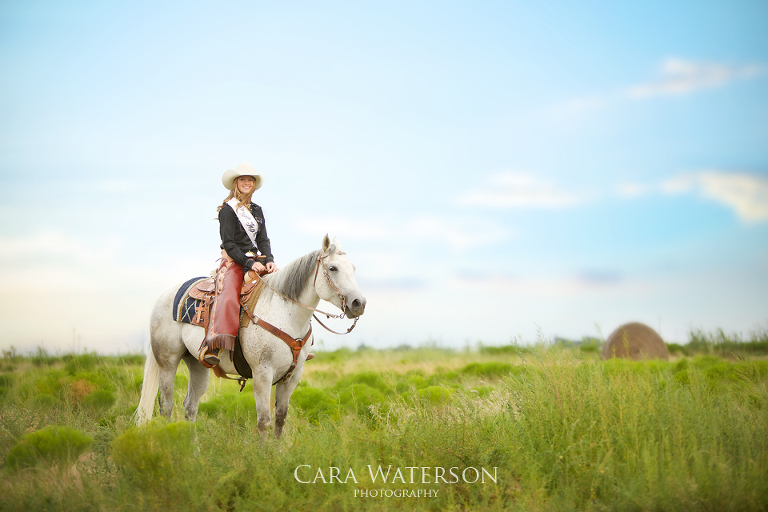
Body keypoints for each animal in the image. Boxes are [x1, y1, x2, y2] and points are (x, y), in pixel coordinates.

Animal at [135, 234, 366, 438]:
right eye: (333, 268)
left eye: (354, 268)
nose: (359, 303)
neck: (284, 313)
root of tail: (163, 297)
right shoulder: (262, 373)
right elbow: (263, 421)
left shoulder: (292, 376)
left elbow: (280, 419)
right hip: (167, 362)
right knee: (166, 405)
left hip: (197, 364)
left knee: (189, 407)